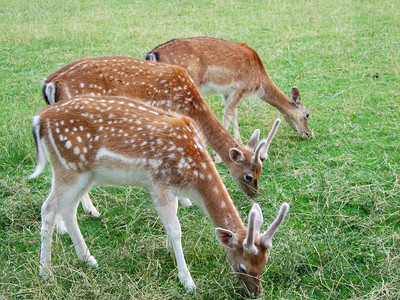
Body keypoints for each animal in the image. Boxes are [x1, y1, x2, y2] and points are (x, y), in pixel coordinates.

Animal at [29, 95, 290, 296]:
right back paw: (46, 273)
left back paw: (87, 258)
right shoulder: (159, 184)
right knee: (48, 208)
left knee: (68, 208)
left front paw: (168, 250)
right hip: (68, 168)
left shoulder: (170, 189)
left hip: (86, 174)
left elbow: (171, 221)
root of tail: (39, 119)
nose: (256, 293)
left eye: (264, 264)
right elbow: (175, 229)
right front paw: (187, 281)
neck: (193, 178)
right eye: (243, 267)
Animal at [42, 55, 282, 223]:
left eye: (261, 170)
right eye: (250, 176)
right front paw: (185, 201)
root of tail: (50, 83)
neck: (191, 103)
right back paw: (89, 212)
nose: (254, 195)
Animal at [145, 36, 310, 142]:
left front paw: (239, 141)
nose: (308, 134)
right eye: (307, 114)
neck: (260, 82)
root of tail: (152, 54)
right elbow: (229, 115)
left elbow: (234, 114)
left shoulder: (227, 92)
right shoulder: (240, 88)